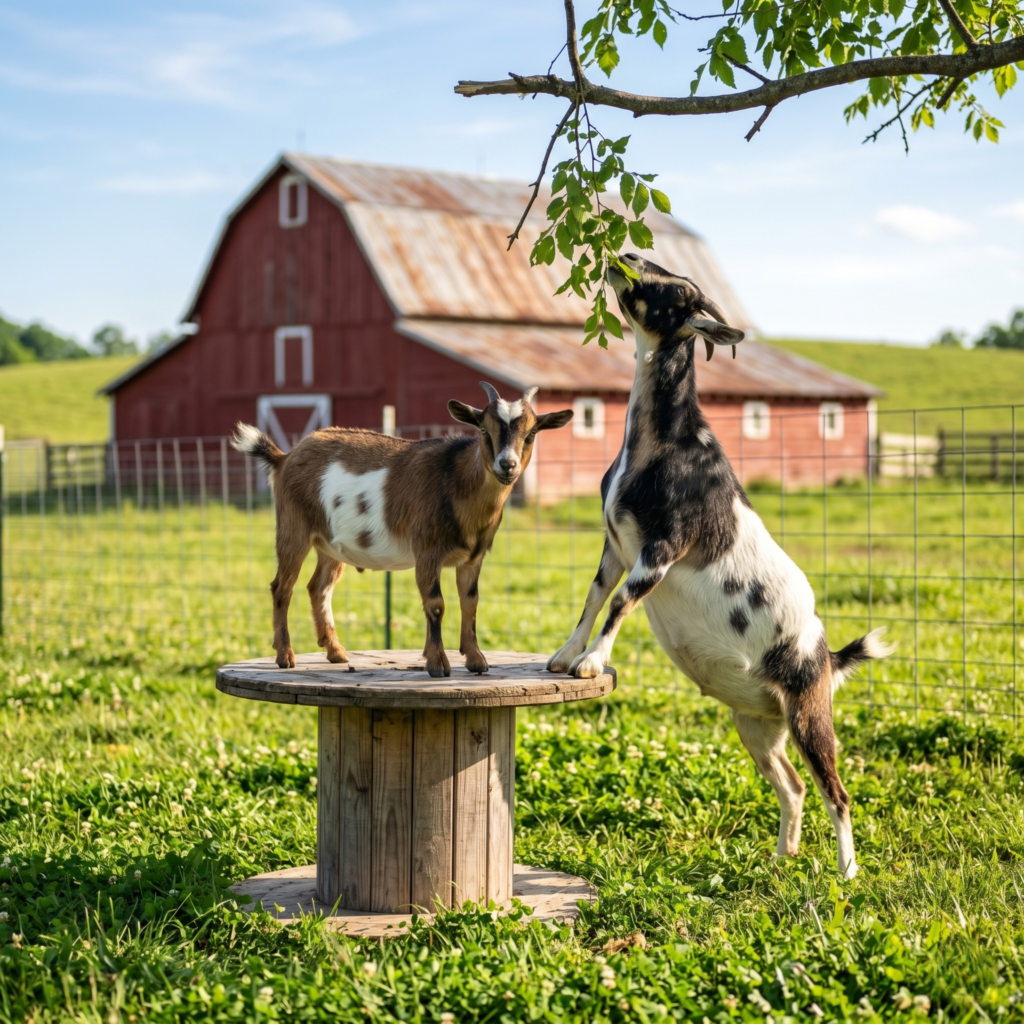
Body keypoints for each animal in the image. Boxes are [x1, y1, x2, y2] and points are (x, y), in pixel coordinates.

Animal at [232, 383, 572, 677]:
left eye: (531, 433)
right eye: (484, 430)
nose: (507, 465)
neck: (456, 481)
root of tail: (284, 458)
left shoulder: (473, 557)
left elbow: (470, 602)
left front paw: (476, 660)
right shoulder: (427, 550)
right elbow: (436, 604)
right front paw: (438, 665)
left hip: (329, 544)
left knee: (319, 587)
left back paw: (335, 651)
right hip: (294, 528)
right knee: (282, 587)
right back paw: (285, 656)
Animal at [546, 254, 892, 878]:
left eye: (679, 291)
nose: (625, 257)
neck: (663, 444)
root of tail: (827, 655)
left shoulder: (662, 547)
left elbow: (621, 602)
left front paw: (591, 663)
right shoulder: (615, 545)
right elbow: (594, 596)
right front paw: (566, 655)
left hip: (808, 713)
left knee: (837, 792)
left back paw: (847, 874)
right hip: (756, 724)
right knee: (792, 786)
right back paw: (782, 858)